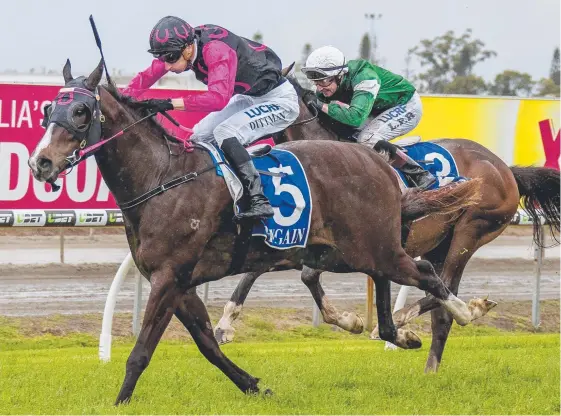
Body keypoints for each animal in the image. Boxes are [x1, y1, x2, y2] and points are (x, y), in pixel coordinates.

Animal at [27, 60, 490, 404]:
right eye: (49, 110)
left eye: (81, 111)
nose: (41, 163)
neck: (162, 177)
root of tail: (377, 162)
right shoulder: (179, 282)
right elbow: (207, 344)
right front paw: (253, 385)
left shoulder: (168, 276)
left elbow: (142, 351)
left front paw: (120, 401)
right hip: (347, 252)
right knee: (391, 281)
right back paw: (397, 332)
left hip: (372, 248)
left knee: (426, 274)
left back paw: (466, 312)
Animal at [215, 66, 560, 374]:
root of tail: (505, 168)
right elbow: (269, 273)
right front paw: (225, 324)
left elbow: (304, 275)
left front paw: (362, 323)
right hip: (440, 242)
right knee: (441, 304)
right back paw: (429, 367)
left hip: (470, 230)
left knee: (445, 287)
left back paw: (419, 316)